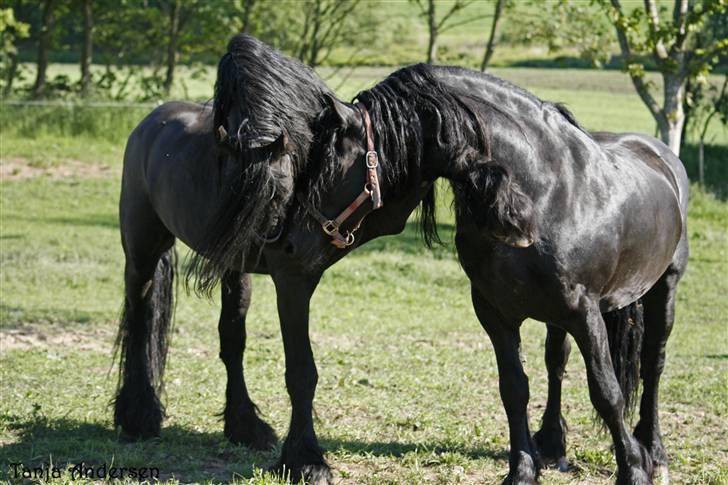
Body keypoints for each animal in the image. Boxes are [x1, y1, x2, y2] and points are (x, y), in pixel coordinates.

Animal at [115, 34, 688, 484]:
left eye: (329, 165)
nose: (288, 240)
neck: (542, 194)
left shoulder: (581, 309)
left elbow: (606, 390)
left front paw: (632, 469)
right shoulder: (494, 311)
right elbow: (514, 388)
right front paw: (306, 460)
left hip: (659, 291)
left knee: (651, 365)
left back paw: (649, 449)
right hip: (147, 249)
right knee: (145, 317)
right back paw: (140, 417)